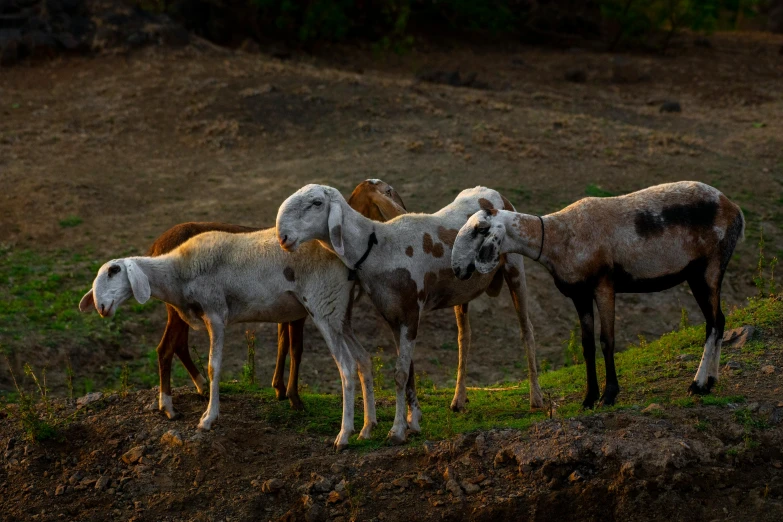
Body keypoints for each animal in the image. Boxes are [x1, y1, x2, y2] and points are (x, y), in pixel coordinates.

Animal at [78, 226, 378, 446]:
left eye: (114, 271)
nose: (101, 307)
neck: (179, 271)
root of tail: (346, 262)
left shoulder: (216, 313)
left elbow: (213, 367)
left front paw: (208, 418)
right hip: (341, 315)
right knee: (364, 360)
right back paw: (368, 427)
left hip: (323, 306)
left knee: (346, 367)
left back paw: (344, 435)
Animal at [278, 183, 544, 442]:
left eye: (316, 203)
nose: (283, 237)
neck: (379, 249)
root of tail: (492, 192)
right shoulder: (393, 317)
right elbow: (409, 373)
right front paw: (412, 422)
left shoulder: (410, 314)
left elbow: (400, 373)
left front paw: (397, 431)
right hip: (462, 289)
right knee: (464, 338)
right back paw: (458, 400)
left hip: (515, 268)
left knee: (527, 331)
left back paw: (536, 398)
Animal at [450, 180, 744, 406]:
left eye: (480, 229)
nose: (456, 268)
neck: (555, 237)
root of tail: (735, 209)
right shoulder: (579, 294)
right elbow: (587, 345)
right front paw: (589, 398)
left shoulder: (603, 285)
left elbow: (607, 341)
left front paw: (609, 395)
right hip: (701, 273)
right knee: (720, 321)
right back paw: (711, 381)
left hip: (709, 268)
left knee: (713, 324)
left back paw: (697, 384)